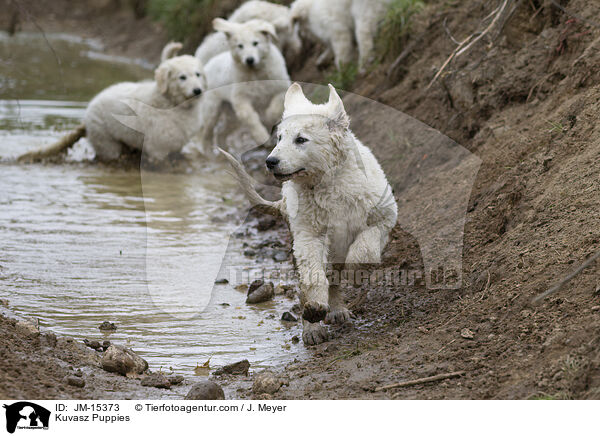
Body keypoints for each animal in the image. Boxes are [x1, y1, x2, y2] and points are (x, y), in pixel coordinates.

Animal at [200, 17, 292, 152]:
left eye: (255, 43)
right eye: (240, 46)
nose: (249, 60)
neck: (256, 74)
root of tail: (207, 65)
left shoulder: (281, 88)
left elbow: (273, 109)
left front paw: (270, 120)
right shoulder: (241, 99)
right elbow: (251, 118)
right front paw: (262, 137)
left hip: (230, 113)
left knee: (222, 133)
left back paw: (225, 151)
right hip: (212, 110)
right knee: (206, 133)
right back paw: (209, 153)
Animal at [220, 83, 398, 346]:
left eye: (301, 139)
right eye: (280, 138)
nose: (270, 161)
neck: (326, 183)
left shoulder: (383, 218)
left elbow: (364, 251)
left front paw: (357, 274)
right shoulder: (307, 235)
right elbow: (313, 275)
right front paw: (315, 311)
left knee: (336, 274)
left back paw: (337, 309)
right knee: (315, 279)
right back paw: (313, 324)